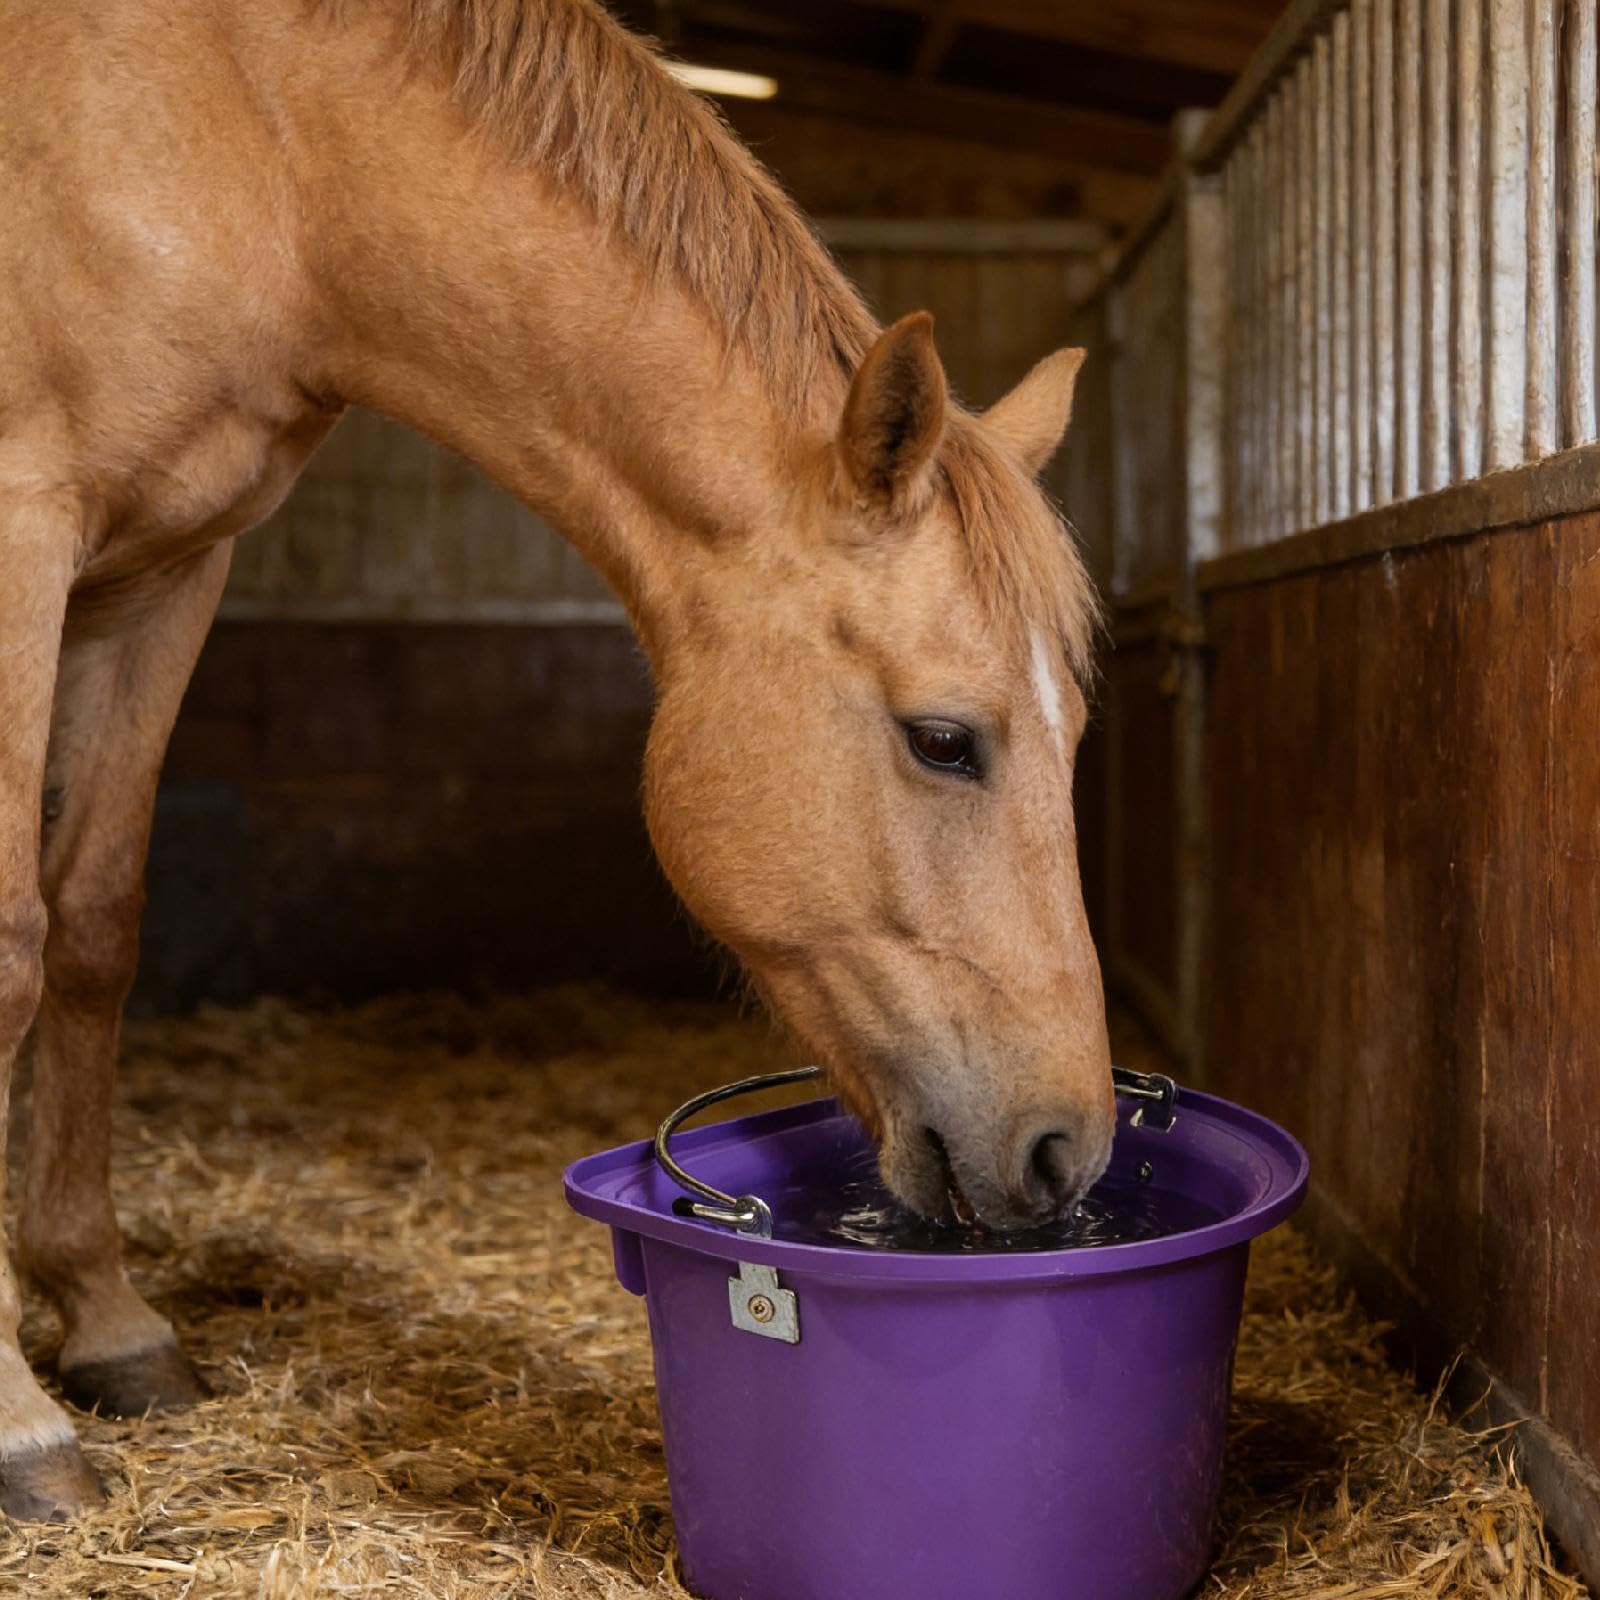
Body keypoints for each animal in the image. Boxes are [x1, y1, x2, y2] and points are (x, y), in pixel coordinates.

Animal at [0, 0, 1112, 1517]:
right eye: (944, 741)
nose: (1068, 1150)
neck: (257, 145)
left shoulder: (162, 574)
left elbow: (92, 933)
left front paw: (110, 1324)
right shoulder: (23, 528)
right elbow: (11, 944)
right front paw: (18, 1422)